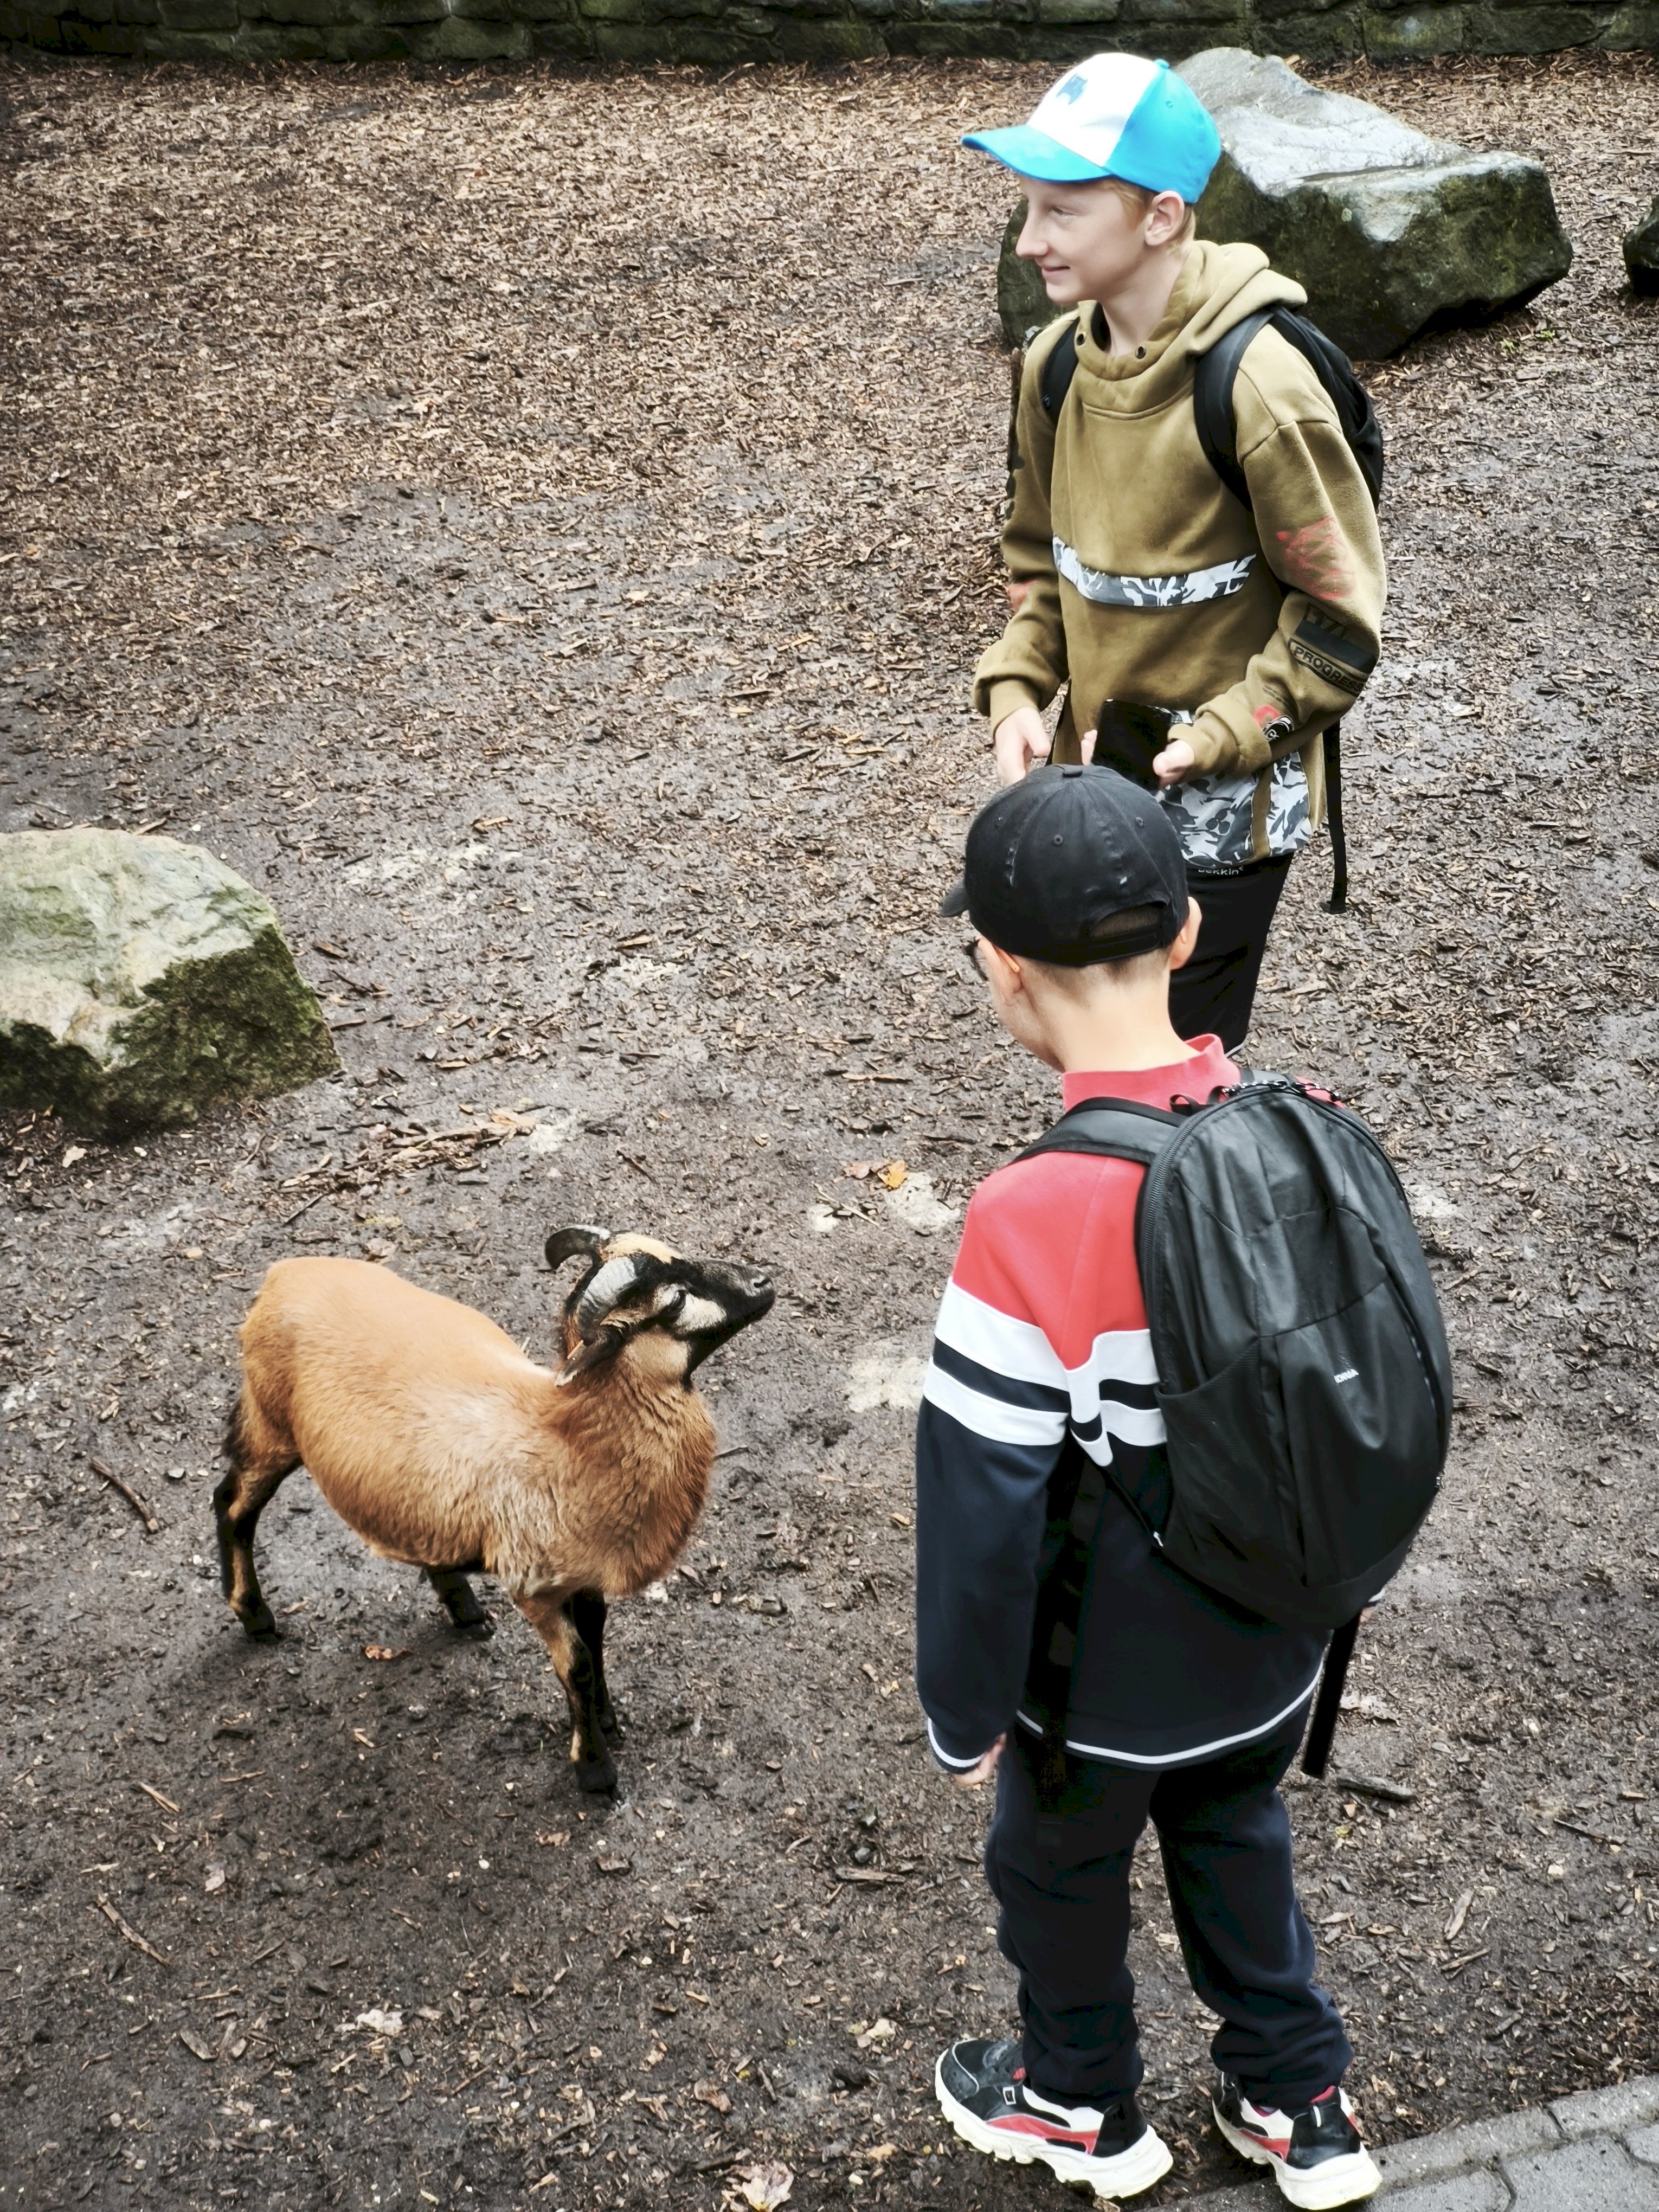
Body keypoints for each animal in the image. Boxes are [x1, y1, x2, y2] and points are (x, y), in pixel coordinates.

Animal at [214, 1224, 774, 1793]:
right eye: (676, 1301)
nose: (763, 1281)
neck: (572, 1441)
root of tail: (283, 1275)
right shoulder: (535, 1590)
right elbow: (577, 1667)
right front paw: (595, 1770)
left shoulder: (586, 1574)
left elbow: (596, 1641)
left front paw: (609, 1722)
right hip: (272, 1426)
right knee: (232, 1506)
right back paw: (256, 1618)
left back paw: (465, 1611)